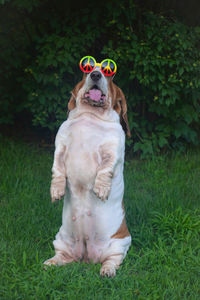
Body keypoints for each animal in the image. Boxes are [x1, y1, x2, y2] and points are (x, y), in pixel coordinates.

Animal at [43, 56, 131, 276]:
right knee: (62, 256)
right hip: (60, 239)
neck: (91, 116)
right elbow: (57, 169)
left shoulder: (113, 150)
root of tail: (86, 257)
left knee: (112, 260)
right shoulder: (60, 147)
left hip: (121, 243)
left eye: (109, 72)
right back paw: (50, 263)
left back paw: (107, 271)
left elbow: (106, 169)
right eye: (87, 68)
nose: (96, 74)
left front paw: (101, 189)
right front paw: (56, 191)